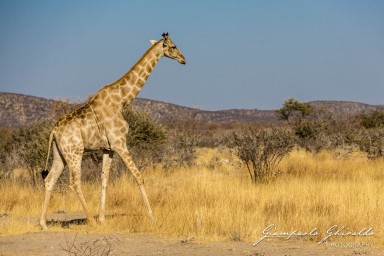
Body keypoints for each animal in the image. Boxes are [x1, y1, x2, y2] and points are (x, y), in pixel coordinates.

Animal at [39, 32, 187, 230]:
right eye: (173, 46)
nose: (183, 59)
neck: (122, 100)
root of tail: (54, 131)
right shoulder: (119, 143)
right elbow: (138, 176)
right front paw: (153, 218)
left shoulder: (108, 148)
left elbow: (104, 180)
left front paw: (103, 218)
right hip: (75, 152)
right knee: (75, 183)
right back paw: (90, 220)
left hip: (59, 154)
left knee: (49, 180)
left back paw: (43, 224)